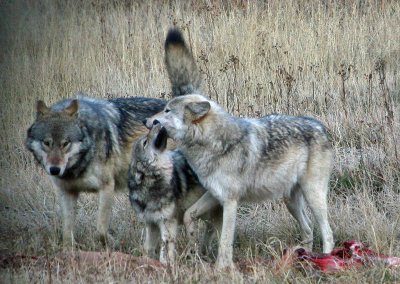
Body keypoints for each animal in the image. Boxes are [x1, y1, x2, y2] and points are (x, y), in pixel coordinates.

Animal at [128, 121, 222, 264]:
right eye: (145, 142)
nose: (155, 122)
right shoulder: (151, 223)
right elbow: (147, 248)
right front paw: (146, 262)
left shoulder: (168, 222)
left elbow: (165, 248)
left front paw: (166, 264)